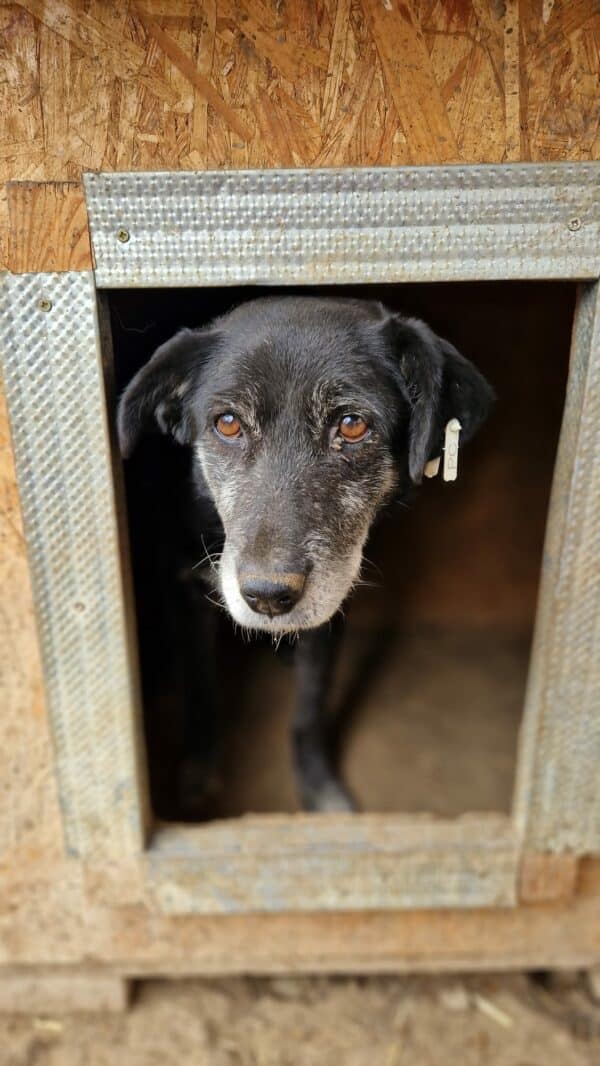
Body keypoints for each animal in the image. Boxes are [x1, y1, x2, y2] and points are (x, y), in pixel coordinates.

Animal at [117, 296, 492, 810]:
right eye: (227, 423)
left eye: (352, 425)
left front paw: (317, 784)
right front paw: (200, 771)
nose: (267, 596)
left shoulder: (332, 601)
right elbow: (199, 688)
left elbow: (309, 709)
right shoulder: (183, 585)